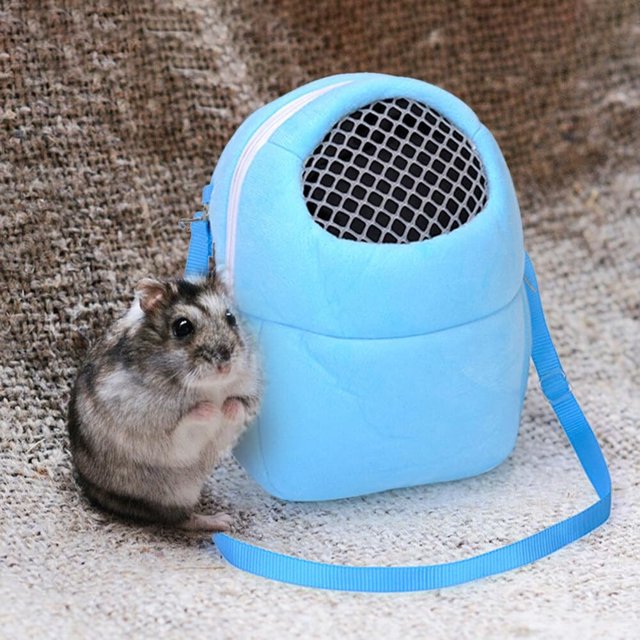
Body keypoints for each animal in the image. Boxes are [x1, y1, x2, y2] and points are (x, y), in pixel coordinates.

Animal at [67, 270, 261, 531]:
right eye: (182, 327)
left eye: (230, 317)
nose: (224, 364)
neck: (209, 387)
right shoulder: (160, 430)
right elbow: (188, 421)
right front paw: (212, 409)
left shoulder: (246, 396)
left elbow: (239, 405)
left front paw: (226, 407)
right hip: (174, 492)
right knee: (179, 519)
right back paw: (221, 521)